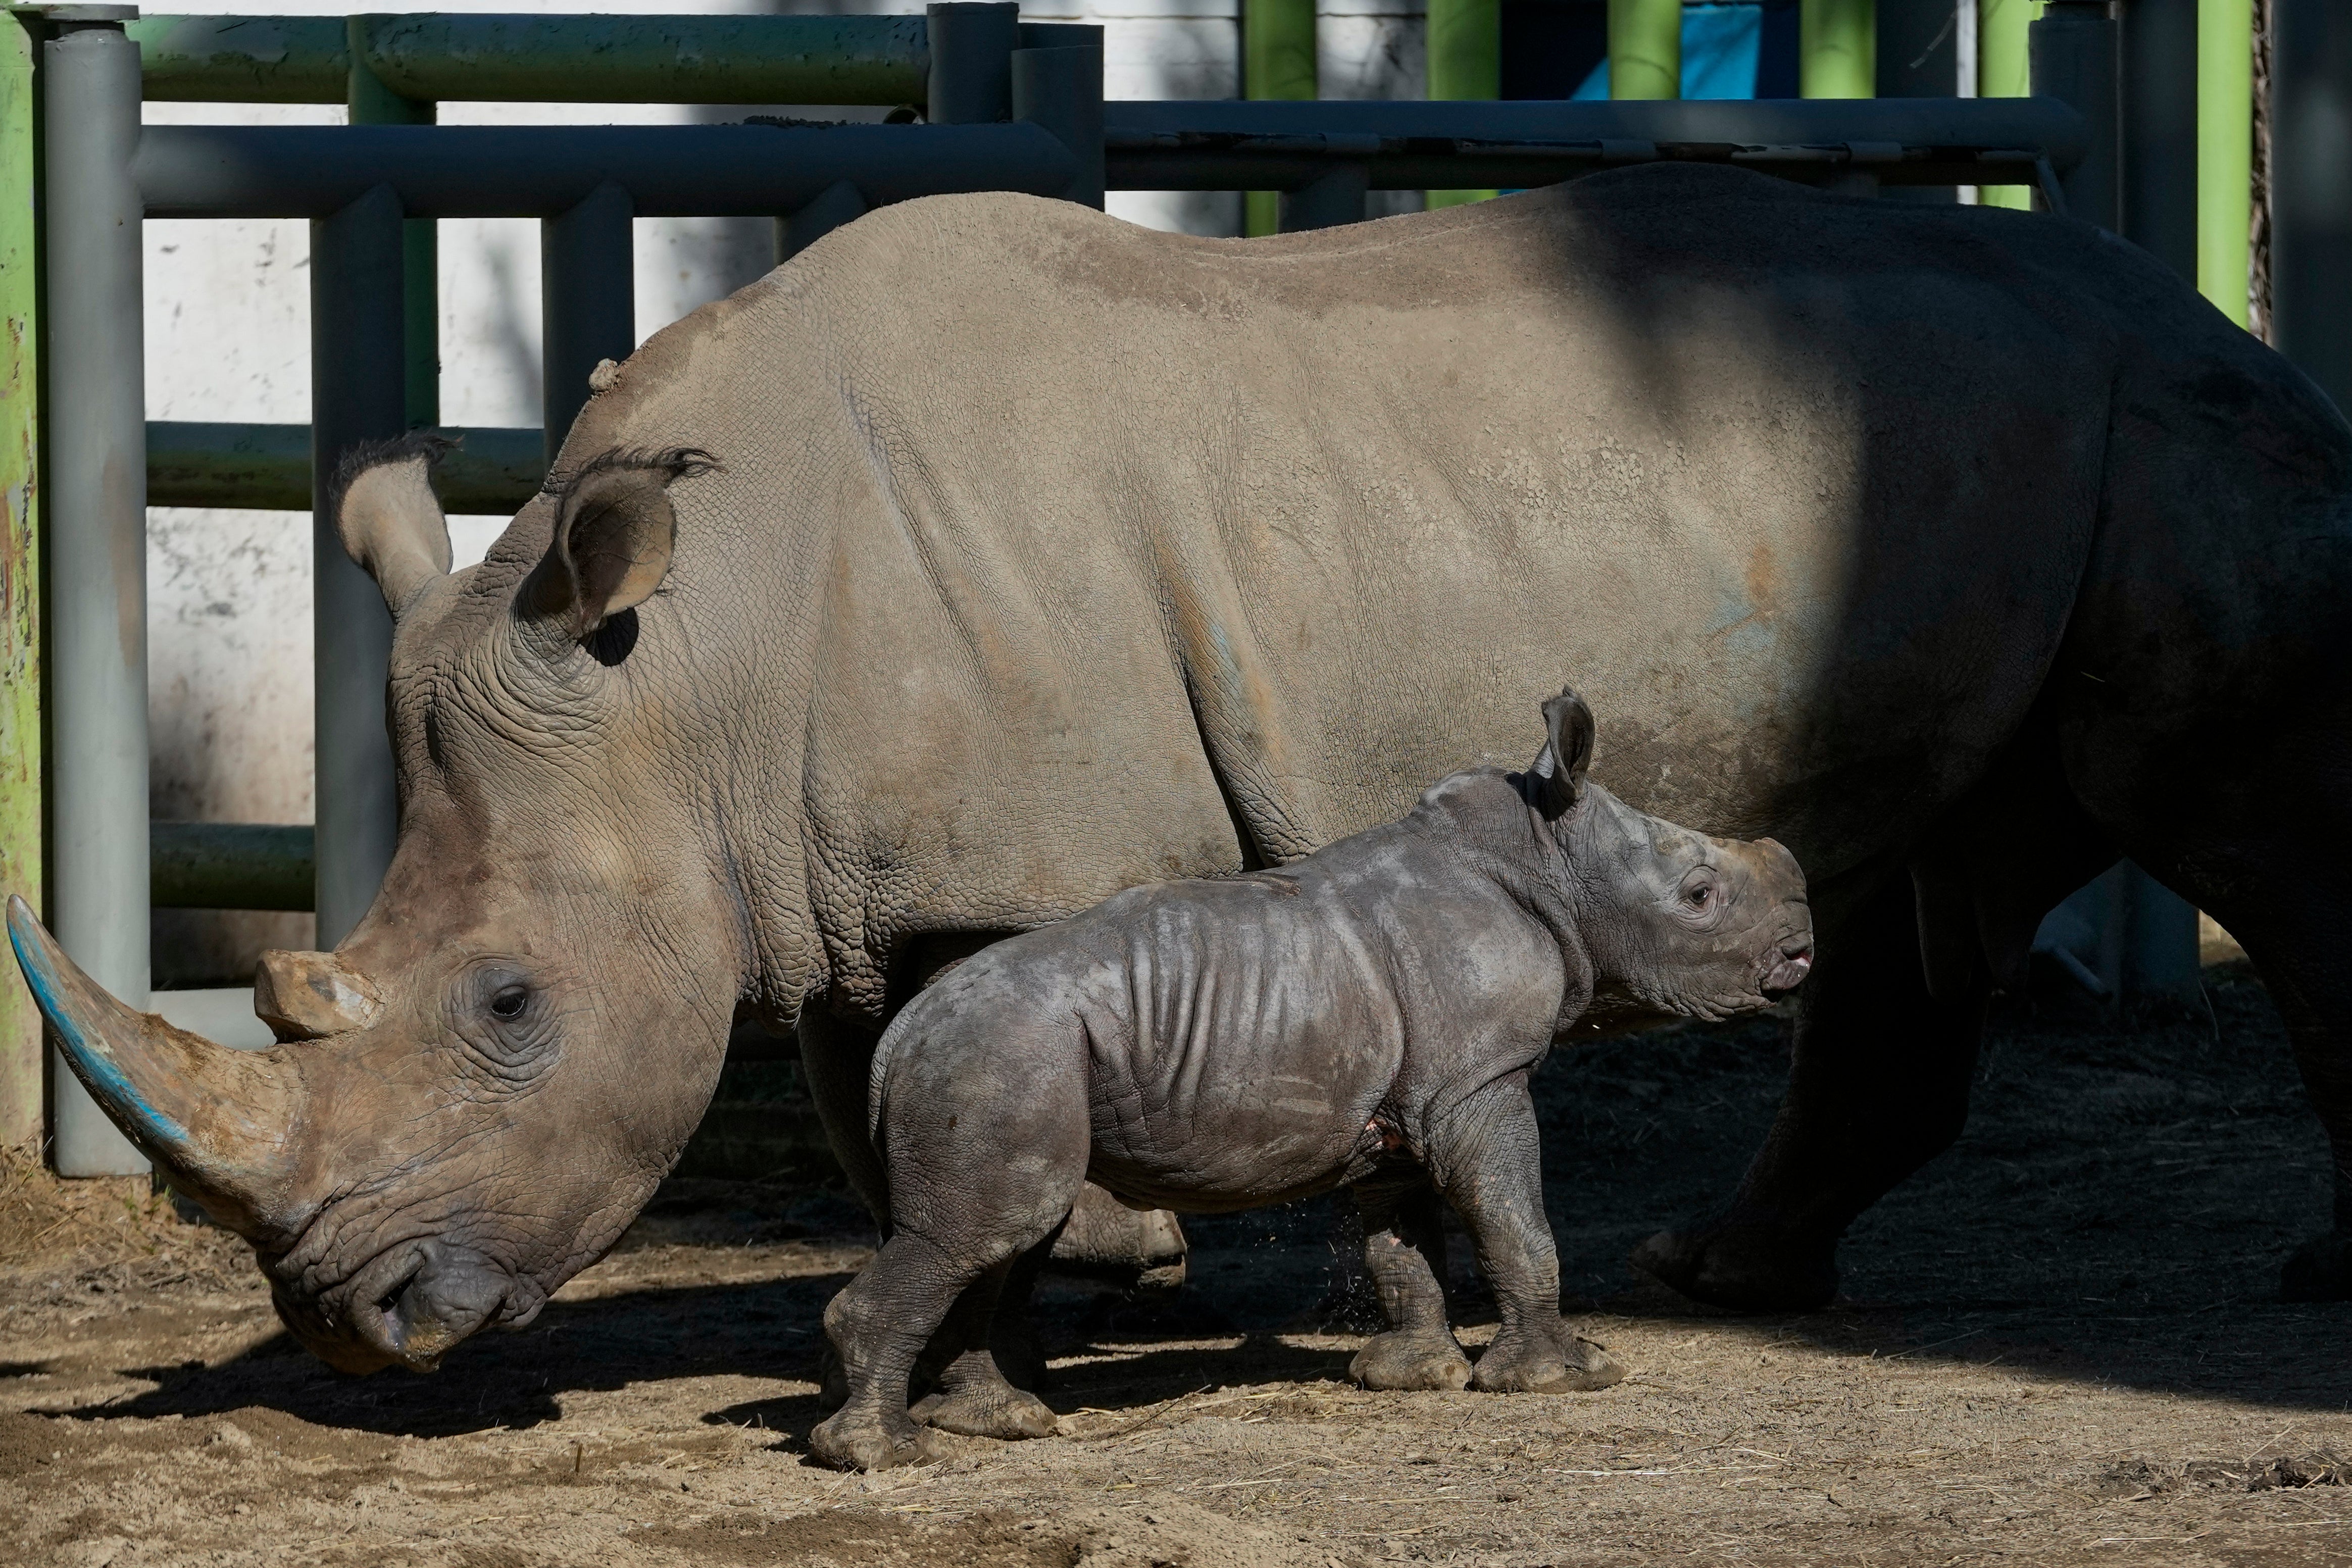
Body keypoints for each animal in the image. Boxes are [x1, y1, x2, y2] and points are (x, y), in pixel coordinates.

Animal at [15, 162, 2352, 1378]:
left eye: (509, 1007)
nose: (356, 1326)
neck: (696, 674)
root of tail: (2205, 306)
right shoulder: (834, 863)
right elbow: (875, 1094)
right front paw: (1012, 1313)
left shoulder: (1016, 852)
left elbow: (960, 1060)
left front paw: (1091, 1276)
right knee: (1912, 867)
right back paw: (1716, 1274)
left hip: (2174, 439)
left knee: (2247, 823)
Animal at [814, 689, 1813, 1470]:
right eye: (1699, 897)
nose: (1803, 947)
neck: (1549, 860)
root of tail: (897, 1040)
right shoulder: (1479, 1078)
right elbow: (1515, 1219)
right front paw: (1569, 1378)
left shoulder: (1411, 1101)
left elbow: (1402, 1241)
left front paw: (1412, 1377)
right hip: (1000, 1053)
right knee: (988, 1230)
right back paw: (890, 1455)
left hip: (997, 1056)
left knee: (998, 1236)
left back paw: (1001, 1425)